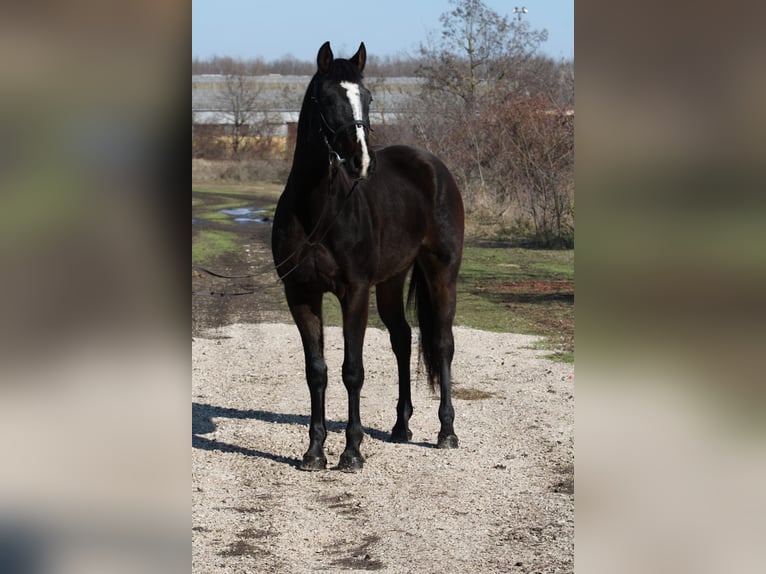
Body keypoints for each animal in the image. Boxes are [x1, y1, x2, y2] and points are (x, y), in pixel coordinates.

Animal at [272, 40, 464, 472]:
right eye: (328, 98)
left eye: (368, 96)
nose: (362, 161)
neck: (317, 212)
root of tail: (435, 167)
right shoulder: (301, 294)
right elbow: (317, 371)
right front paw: (314, 451)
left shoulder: (355, 291)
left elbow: (352, 370)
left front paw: (352, 451)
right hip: (392, 280)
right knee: (403, 339)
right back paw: (401, 426)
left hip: (442, 272)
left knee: (442, 343)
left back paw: (446, 432)